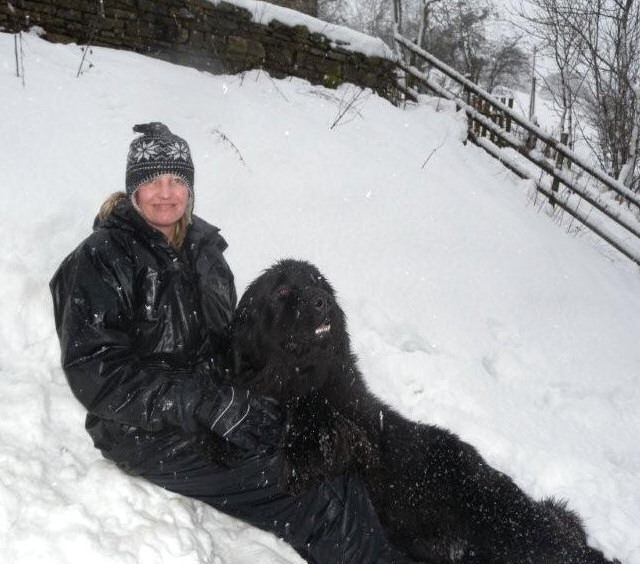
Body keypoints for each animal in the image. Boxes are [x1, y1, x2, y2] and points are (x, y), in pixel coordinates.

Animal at [230, 260, 620, 564]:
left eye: (319, 283)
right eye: (282, 291)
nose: (321, 301)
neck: (304, 374)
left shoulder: (359, 418)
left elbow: (318, 409)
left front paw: (305, 450)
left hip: (497, 515)